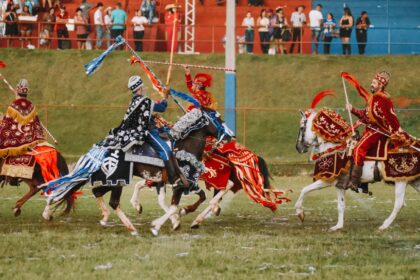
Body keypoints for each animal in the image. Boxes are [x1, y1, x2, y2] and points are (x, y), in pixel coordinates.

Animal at [42, 107, 233, 236]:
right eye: (217, 118)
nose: (230, 135)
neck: (185, 147)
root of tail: (101, 152)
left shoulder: (174, 182)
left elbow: (191, 199)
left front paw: (181, 216)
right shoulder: (181, 184)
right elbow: (174, 206)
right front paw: (160, 224)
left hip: (112, 181)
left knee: (96, 192)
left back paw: (104, 218)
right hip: (117, 181)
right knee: (111, 201)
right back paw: (130, 227)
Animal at [294, 93, 420, 231]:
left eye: (302, 127)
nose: (298, 147)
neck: (335, 146)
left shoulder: (326, 180)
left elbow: (304, 190)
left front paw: (299, 213)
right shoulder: (340, 185)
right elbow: (340, 205)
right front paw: (338, 226)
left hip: (401, 180)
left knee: (399, 204)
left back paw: (384, 225)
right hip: (413, 181)